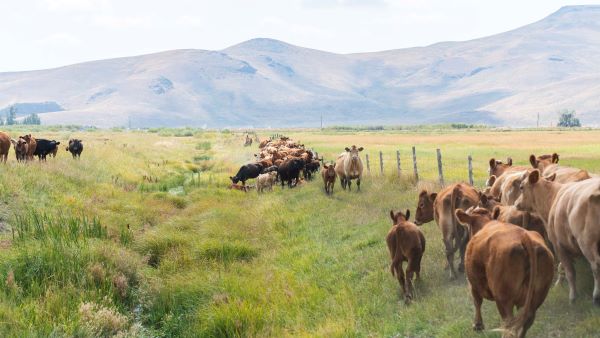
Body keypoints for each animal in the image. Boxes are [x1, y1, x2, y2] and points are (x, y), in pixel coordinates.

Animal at [458, 207, 556, 336]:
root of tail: (525, 237)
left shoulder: (473, 283)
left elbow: (477, 302)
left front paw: (478, 325)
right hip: (536, 298)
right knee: (524, 322)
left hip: (504, 299)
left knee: (509, 324)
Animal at [516, 170, 600, 304]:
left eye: (521, 187)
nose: (516, 204)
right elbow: (562, 266)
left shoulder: (558, 244)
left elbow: (569, 271)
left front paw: (572, 297)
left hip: (586, 242)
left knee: (596, 265)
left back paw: (596, 295)